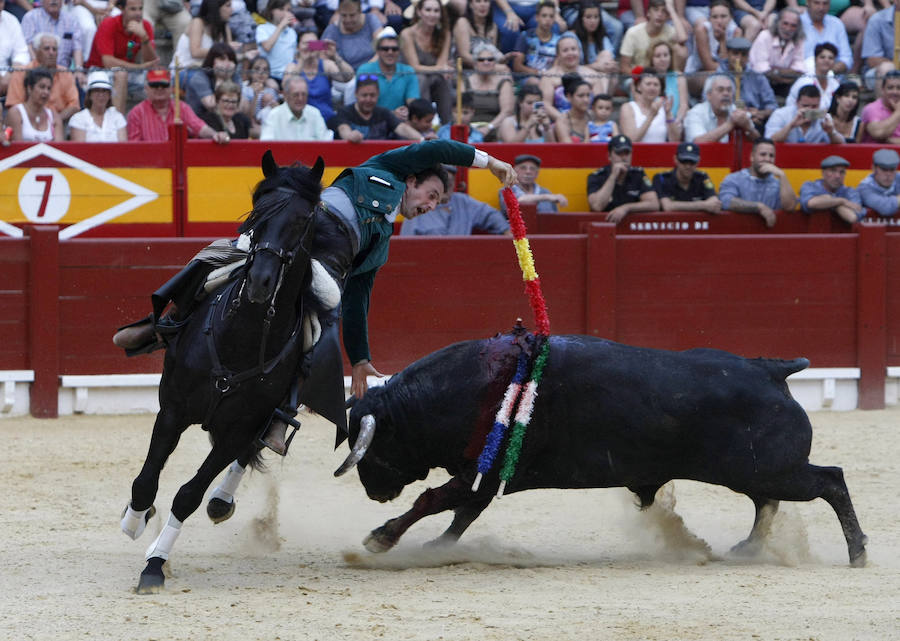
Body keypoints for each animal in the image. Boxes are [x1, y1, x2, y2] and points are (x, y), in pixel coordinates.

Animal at [121, 152, 326, 592]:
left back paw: (220, 502)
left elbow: (189, 493)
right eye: (257, 213)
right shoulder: (173, 410)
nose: (262, 281)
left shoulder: (239, 429)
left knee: (245, 458)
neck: (242, 336)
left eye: (303, 220)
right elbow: (145, 480)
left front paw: (154, 565)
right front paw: (134, 521)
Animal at [336, 330, 864, 564]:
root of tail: (769, 369)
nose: (372, 490)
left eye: (375, 445)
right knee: (766, 502)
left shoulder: (478, 473)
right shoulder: (486, 477)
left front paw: (381, 537)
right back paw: (747, 549)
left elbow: (433, 501)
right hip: (756, 470)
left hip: (774, 469)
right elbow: (462, 514)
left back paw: (857, 551)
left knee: (829, 480)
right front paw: (436, 547)